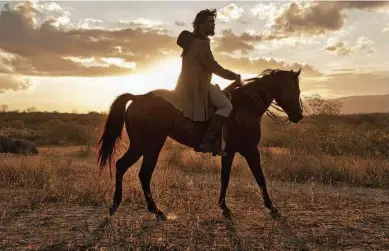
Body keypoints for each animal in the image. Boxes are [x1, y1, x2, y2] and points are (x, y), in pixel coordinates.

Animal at [97, 68, 304, 220]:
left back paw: (140, 208)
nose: (299, 115)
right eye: (294, 87)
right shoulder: (250, 150)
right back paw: (140, 208)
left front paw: (224, 207)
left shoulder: (230, 152)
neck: (246, 106)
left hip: (146, 147)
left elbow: (225, 178)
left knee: (132, 170)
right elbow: (260, 178)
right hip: (147, 145)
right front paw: (272, 207)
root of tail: (137, 97)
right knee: (134, 170)